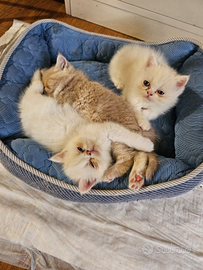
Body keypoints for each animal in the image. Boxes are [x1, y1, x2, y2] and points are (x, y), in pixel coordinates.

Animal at [19, 68, 154, 193]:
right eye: (92, 164)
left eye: (79, 149)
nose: (89, 151)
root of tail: (22, 108)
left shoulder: (108, 127)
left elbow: (132, 138)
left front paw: (148, 145)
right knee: (133, 156)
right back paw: (133, 177)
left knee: (36, 84)